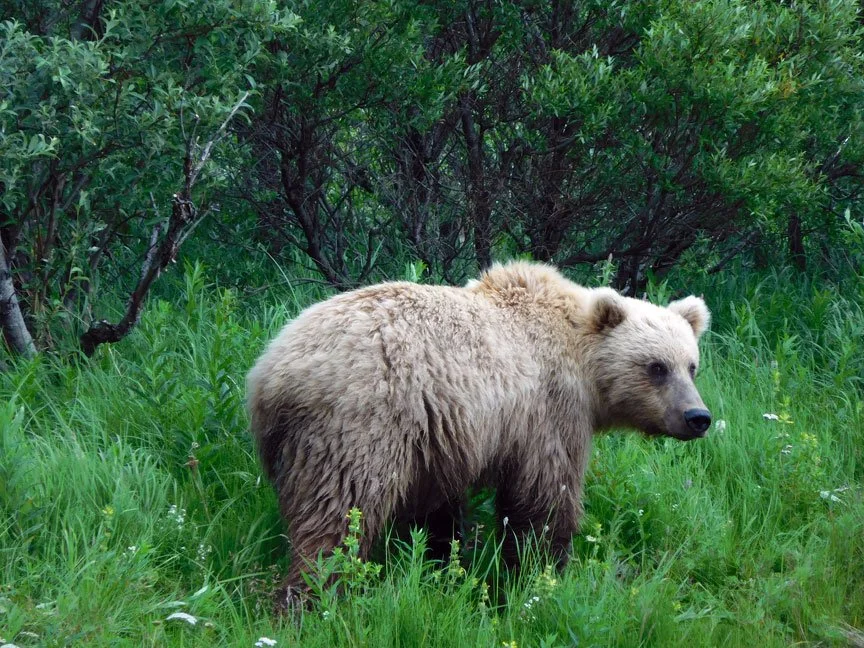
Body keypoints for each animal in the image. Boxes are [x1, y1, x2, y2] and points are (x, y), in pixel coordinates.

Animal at [246, 261, 711, 609]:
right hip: (359, 425)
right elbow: (543, 498)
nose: (698, 417)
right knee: (339, 514)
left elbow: (438, 510)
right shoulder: (549, 413)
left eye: (691, 365)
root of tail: (270, 371)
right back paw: (313, 598)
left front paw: (443, 561)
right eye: (655, 367)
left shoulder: (440, 434)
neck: (583, 364)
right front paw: (541, 571)